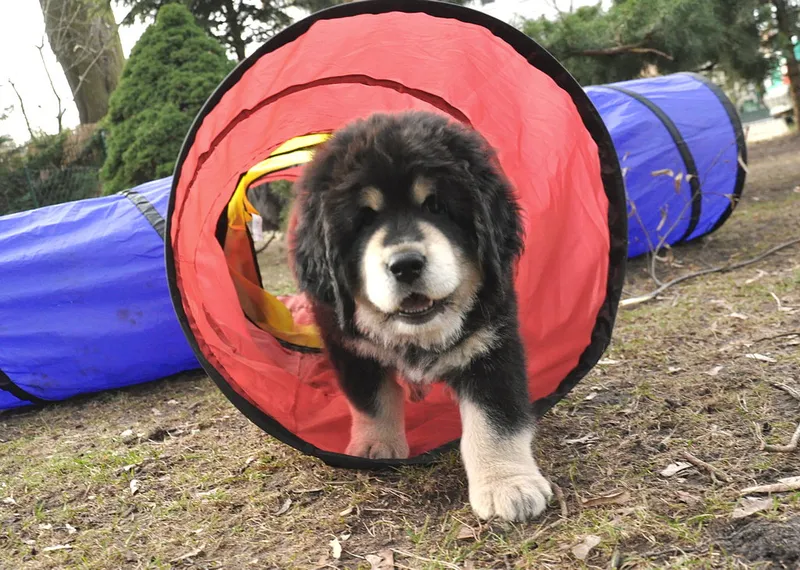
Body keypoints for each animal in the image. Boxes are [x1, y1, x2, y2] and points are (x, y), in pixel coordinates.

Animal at [290, 110, 553, 522]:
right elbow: (372, 400)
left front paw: (508, 484)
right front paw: (374, 446)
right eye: (364, 219)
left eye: (435, 206)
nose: (406, 265)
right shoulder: (348, 345)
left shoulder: (493, 342)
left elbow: (496, 419)